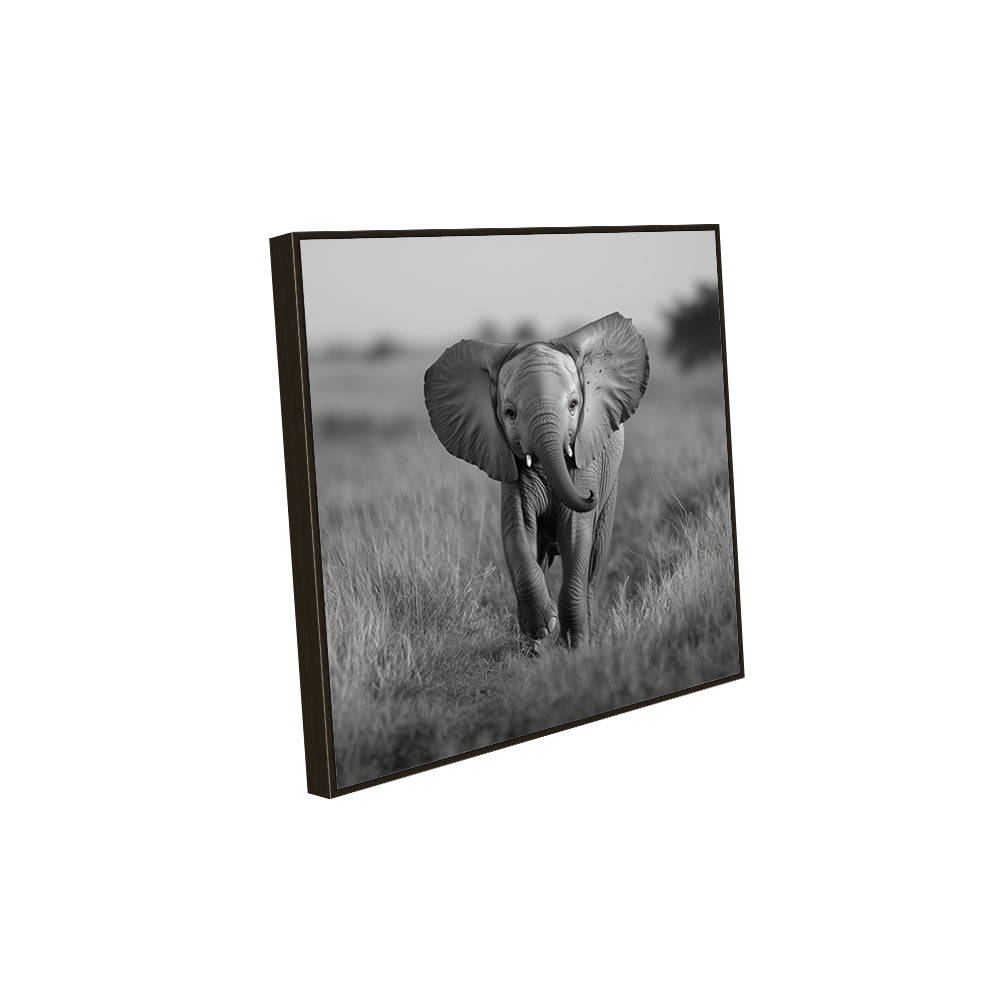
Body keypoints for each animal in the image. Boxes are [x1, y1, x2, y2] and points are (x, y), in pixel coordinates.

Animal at [424, 312, 649, 653]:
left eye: (573, 405)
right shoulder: (509, 466)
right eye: (509, 413)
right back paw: (533, 648)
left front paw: (573, 647)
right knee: (540, 554)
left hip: (611, 487)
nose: (589, 494)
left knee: (595, 560)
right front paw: (544, 626)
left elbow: (576, 533)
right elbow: (517, 530)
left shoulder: (587, 459)